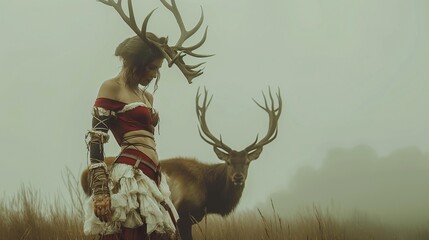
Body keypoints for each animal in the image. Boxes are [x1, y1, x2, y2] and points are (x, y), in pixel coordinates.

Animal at [80, 88, 280, 240]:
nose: (238, 177)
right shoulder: (183, 217)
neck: (209, 195)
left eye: (247, 162)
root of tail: (84, 175)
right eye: (229, 162)